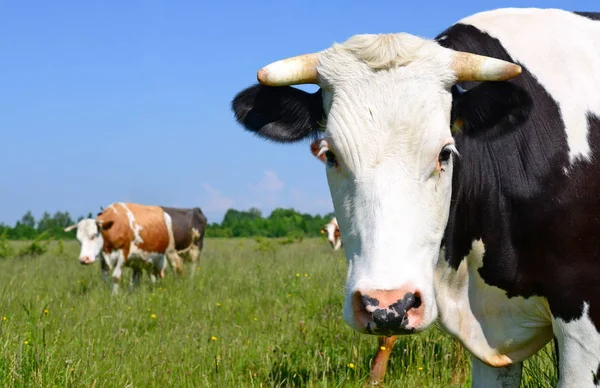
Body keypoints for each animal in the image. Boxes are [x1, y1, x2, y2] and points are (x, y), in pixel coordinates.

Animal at [66, 202, 207, 292]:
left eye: (93, 236)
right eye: (79, 240)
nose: (84, 259)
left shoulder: (123, 253)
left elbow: (116, 277)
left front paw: (115, 297)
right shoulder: (103, 257)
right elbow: (105, 278)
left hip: (179, 250)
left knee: (179, 267)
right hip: (145, 259)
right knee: (149, 275)